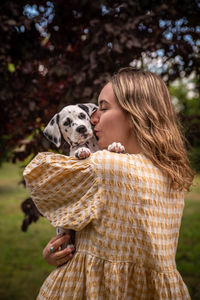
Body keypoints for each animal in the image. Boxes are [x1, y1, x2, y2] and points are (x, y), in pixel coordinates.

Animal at [43, 103, 125, 251]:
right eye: (66, 122)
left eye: (82, 115)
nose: (81, 128)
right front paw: (80, 151)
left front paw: (116, 146)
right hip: (62, 230)